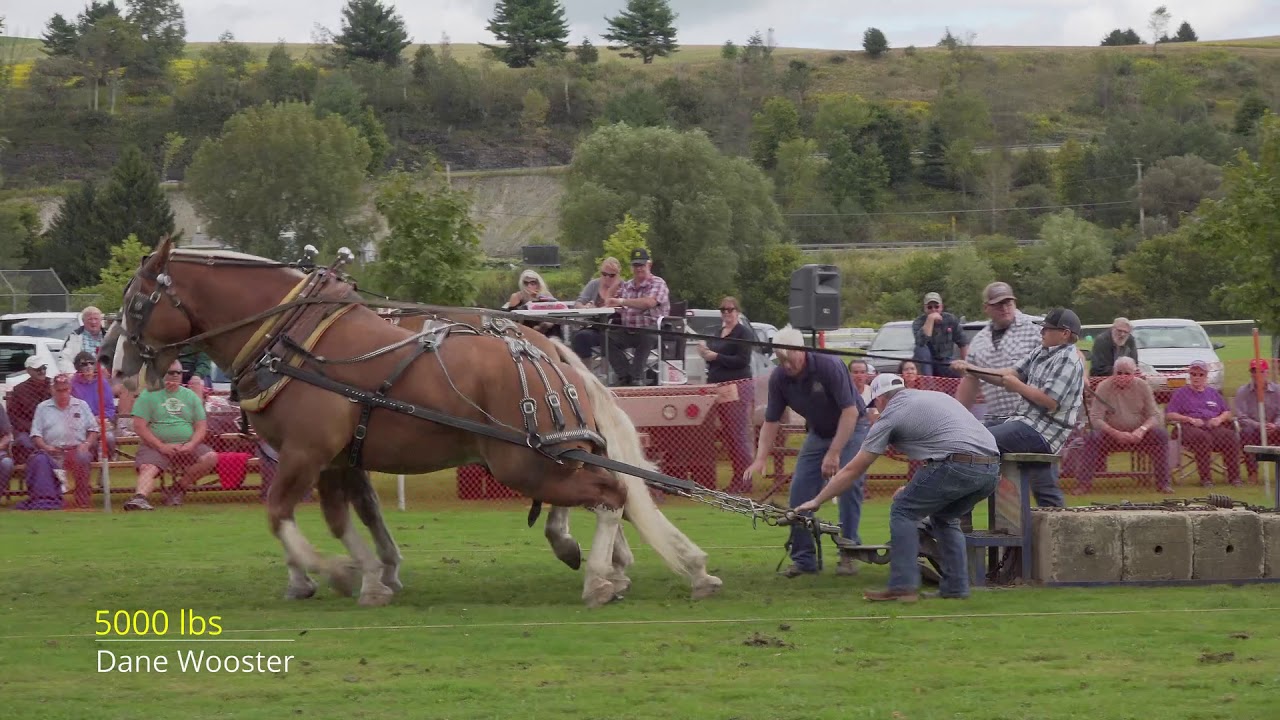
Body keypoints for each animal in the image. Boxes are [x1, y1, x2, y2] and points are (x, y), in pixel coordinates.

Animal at [108, 238, 722, 608]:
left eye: (137, 303)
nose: (120, 370)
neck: (291, 339)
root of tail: (543, 347)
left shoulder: (307, 451)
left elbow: (280, 512)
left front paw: (334, 573)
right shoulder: (337, 457)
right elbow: (352, 516)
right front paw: (372, 574)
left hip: (523, 460)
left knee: (610, 493)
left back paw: (600, 575)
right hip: (549, 451)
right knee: (609, 493)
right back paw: (646, 565)